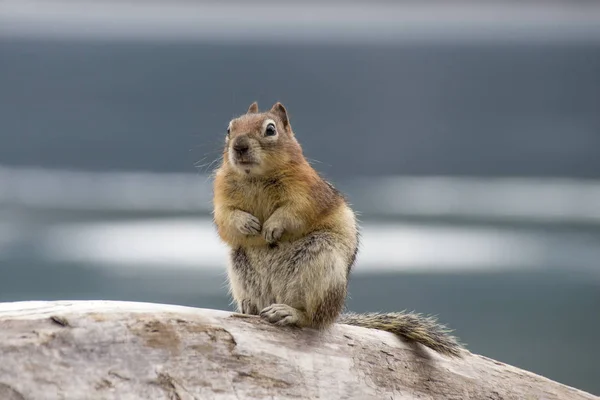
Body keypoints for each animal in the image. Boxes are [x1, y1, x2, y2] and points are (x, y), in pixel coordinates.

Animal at [213, 100, 462, 356]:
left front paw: (272, 226)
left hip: (323, 267)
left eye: (270, 129)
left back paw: (288, 312)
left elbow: (293, 213)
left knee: (314, 319)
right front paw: (247, 223)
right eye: (229, 129)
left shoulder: (308, 193)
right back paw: (250, 306)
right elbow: (225, 219)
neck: (255, 177)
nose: (239, 146)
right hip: (240, 264)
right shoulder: (221, 196)